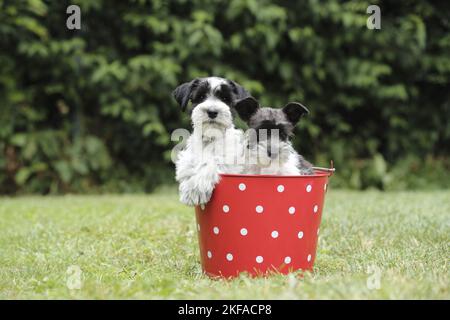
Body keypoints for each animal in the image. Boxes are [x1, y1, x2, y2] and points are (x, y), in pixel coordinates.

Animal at [173, 78, 250, 208]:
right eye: (201, 96)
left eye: (225, 98)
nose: (212, 112)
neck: (211, 138)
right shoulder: (188, 156)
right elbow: (187, 167)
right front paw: (187, 188)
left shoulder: (228, 160)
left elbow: (210, 163)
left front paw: (195, 190)